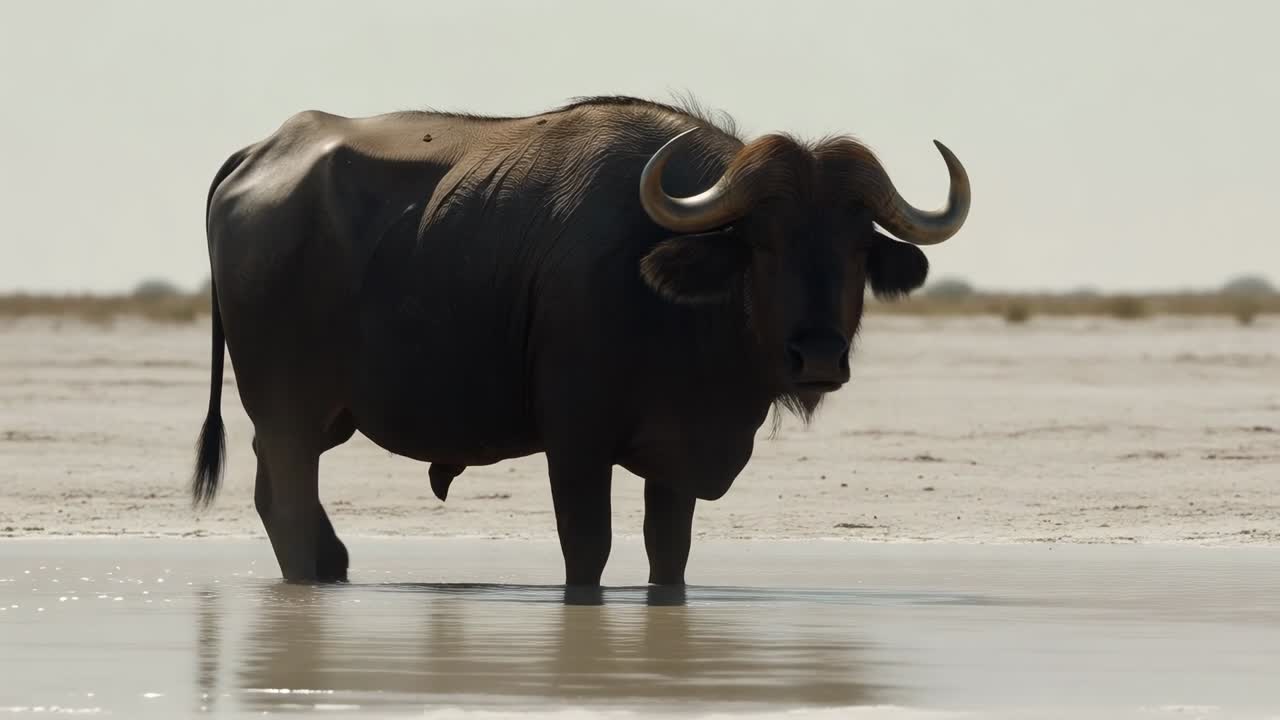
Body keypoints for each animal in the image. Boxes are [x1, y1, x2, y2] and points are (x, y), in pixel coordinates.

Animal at [190, 96, 970, 586]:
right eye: (763, 241)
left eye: (856, 247)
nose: (817, 356)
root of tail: (262, 153)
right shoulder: (575, 442)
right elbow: (587, 550)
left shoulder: (676, 452)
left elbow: (669, 554)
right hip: (288, 413)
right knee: (289, 504)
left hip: (315, 421)